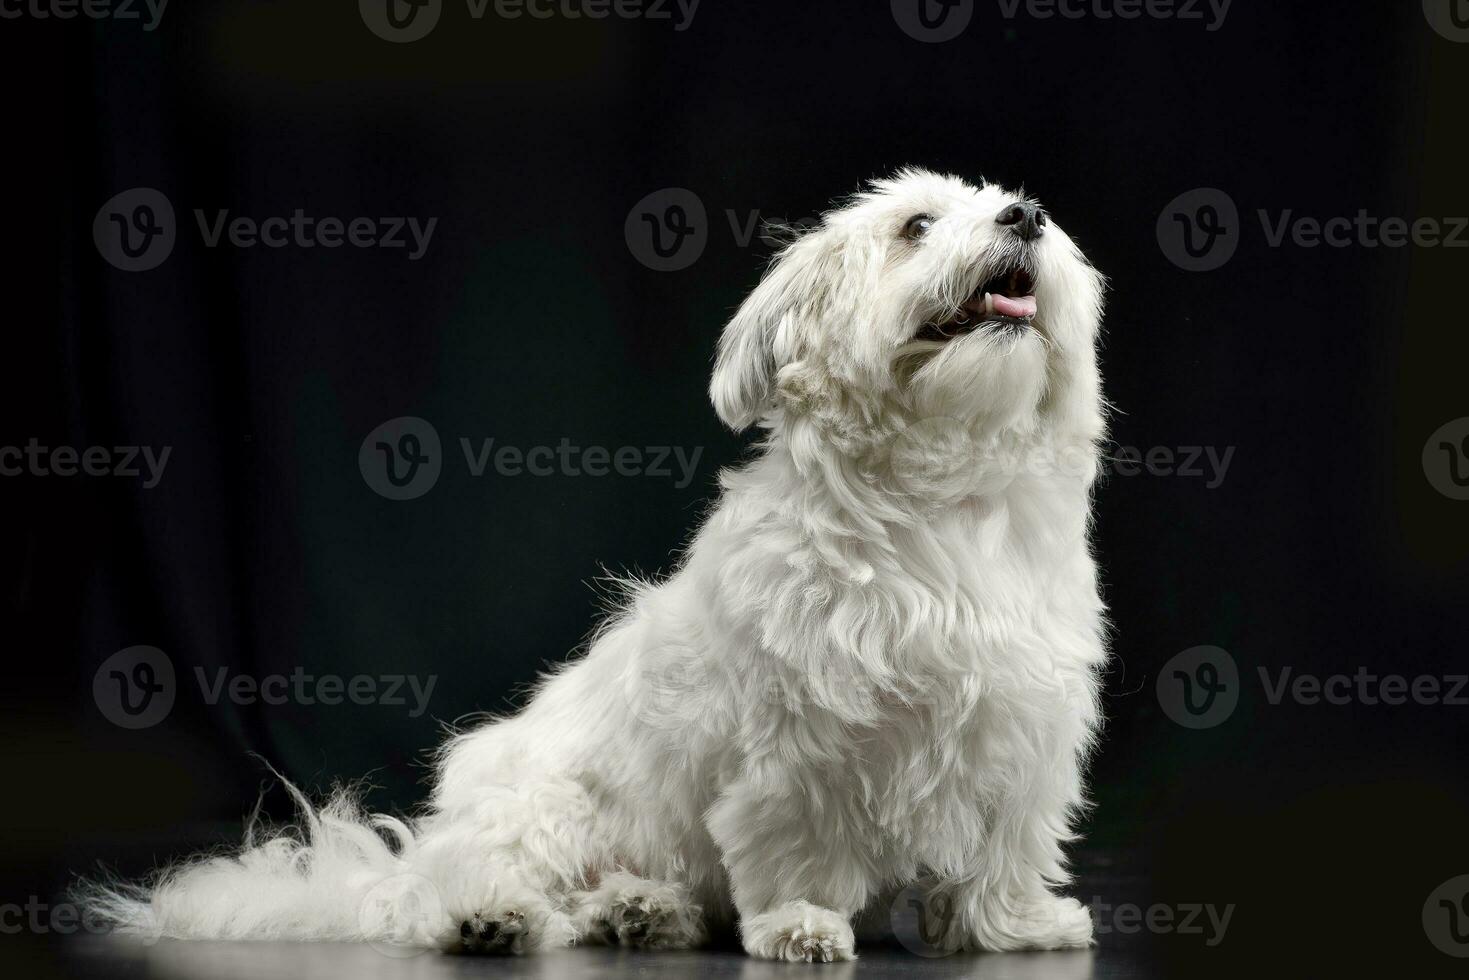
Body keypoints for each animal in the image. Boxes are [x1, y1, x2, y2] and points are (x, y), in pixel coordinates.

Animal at [83, 170, 1104, 963]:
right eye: (915, 226)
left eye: (1016, 206)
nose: (1023, 214)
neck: (941, 503)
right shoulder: (797, 750)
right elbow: (797, 848)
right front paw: (801, 924)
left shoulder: (1025, 728)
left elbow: (1009, 846)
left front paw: (1014, 925)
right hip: (545, 811)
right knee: (463, 898)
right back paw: (493, 918)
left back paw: (640, 911)